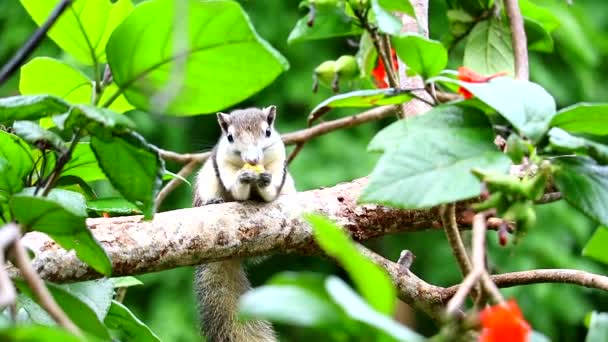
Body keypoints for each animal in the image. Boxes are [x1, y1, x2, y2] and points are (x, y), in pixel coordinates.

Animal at [191, 105, 294, 340]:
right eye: (230, 137)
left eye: (267, 132)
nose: (253, 160)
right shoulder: (223, 162)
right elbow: (236, 187)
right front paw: (242, 178)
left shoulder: (278, 158)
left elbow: (271, 187)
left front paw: (266, 181)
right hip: (206, 179)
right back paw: (211, 201)